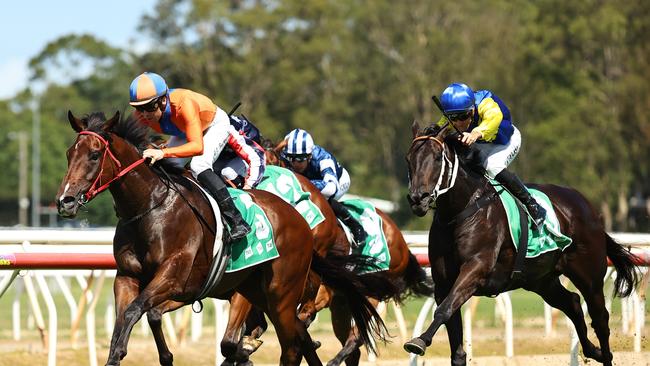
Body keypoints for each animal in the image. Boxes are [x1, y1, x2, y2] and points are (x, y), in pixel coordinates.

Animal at [54, 111, 390, 366]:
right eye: (69, 154)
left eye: (95, 154)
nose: (65, 201)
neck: (150, 206)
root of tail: (301, 221)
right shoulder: (128, 277)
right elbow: (130, 318)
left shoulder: (175, 277)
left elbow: (139, 311)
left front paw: (242, 350)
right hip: (262, 293)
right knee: (299, 338)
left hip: (282, 292)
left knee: (293, 345)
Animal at [402, 123, 640, 366]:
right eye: (409, 159)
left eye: (437, 158)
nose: (418, 199)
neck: (461, 210)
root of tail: (589, 209)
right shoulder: (443, 282)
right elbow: (452, 330)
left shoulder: (476, 268)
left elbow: (443, 310)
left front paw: (419, 341)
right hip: (541, 280)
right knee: (572, 303)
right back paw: (593, 351)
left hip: (589, 275)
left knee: (600, 319)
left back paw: (605, 353)